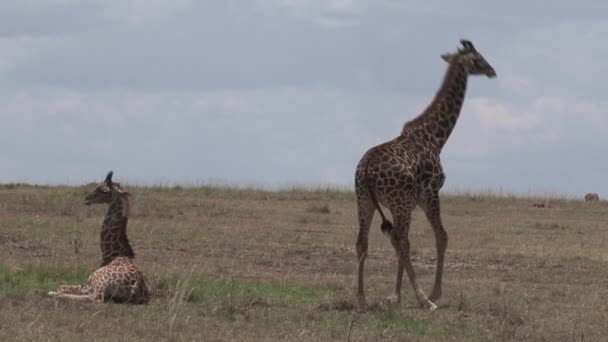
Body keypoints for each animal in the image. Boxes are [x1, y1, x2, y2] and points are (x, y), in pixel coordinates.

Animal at [48, 172, 151, 304]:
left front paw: (55, 292)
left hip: (98, 282)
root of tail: (135, 285)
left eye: (104, 190)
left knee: (95, 298)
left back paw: (54, 294)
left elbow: (62, 286)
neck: (111, 254)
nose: (87, 199)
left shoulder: (88, 283)